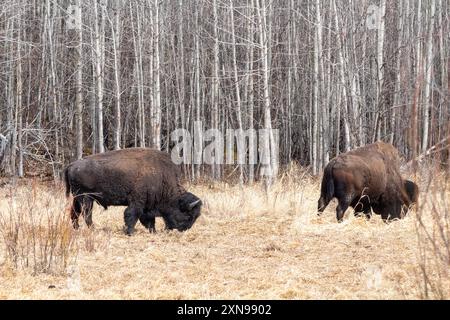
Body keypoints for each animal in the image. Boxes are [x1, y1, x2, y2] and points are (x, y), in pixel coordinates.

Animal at [62, 148, 202, 235]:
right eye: (188, 216)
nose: (183, 229)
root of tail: (72, 165)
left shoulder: (148, 205)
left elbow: (149, 220)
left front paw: (153, 231)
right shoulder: (137, 202)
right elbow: (132, 215)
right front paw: (130, 232)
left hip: (77, 198)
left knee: (75, 213)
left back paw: (77, 229)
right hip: (86, 198)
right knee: (86, 214)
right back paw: (93, 229)